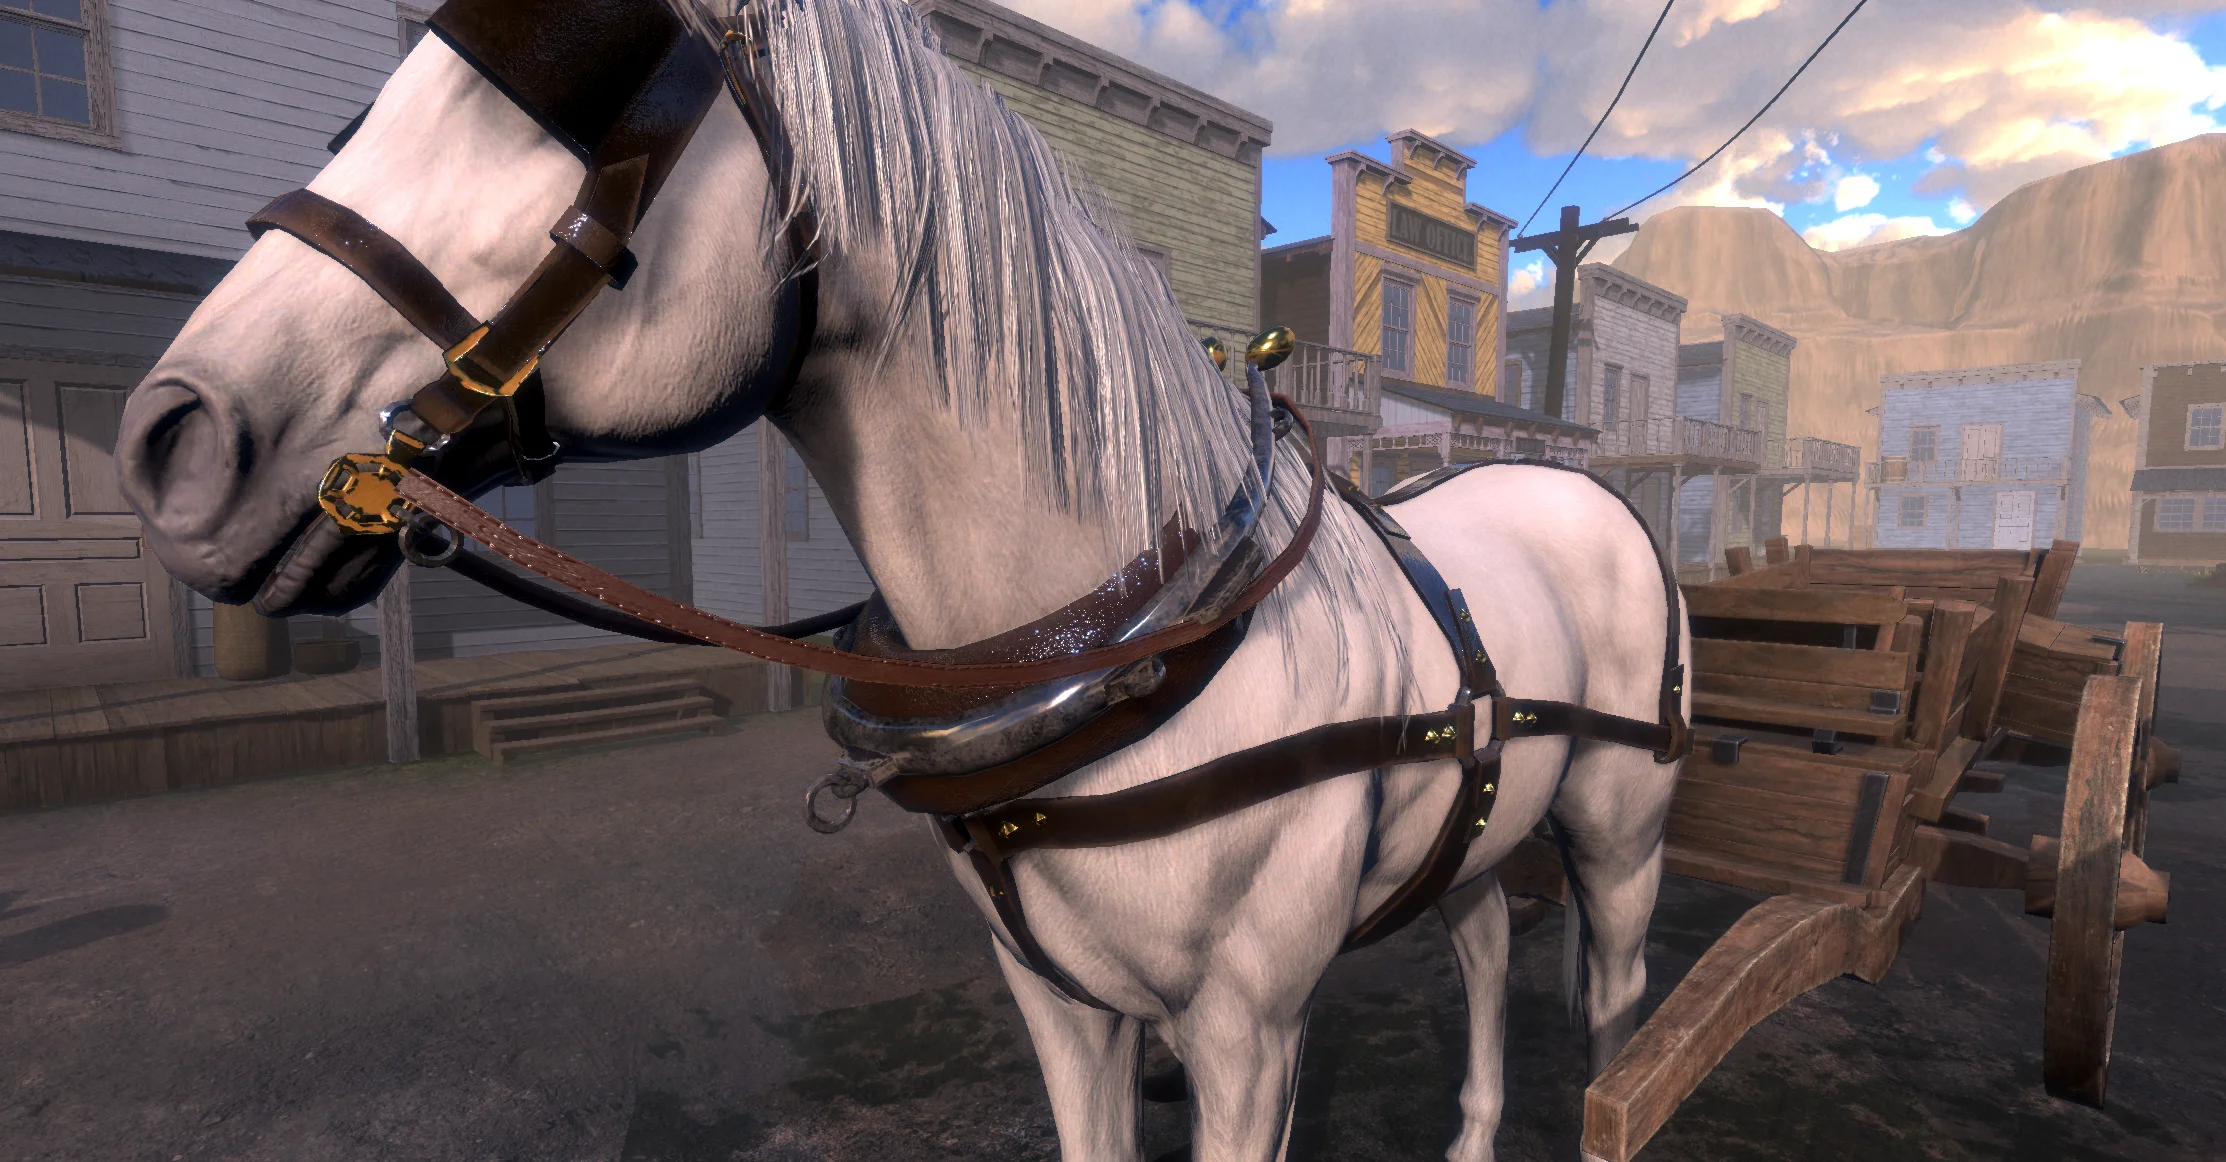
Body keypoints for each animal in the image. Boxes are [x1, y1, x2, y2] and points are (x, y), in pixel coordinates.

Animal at [113, 0, 1688, 1158]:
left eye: (574, 116)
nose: (170, 436)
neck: (1139, 637)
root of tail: (1576, 487)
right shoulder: (1064, 1006)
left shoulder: (1248, 1035)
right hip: (1483, 821)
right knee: (1477, 945)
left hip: (1619, 834)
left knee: (1615, 1007)